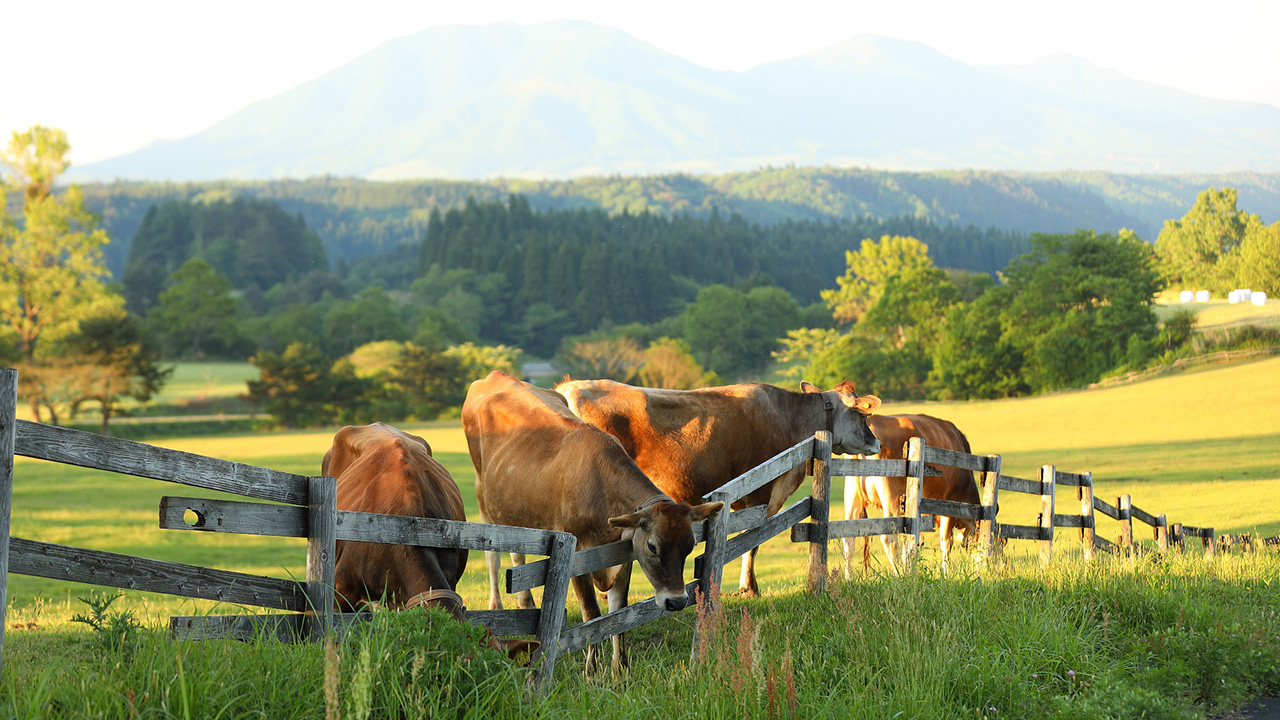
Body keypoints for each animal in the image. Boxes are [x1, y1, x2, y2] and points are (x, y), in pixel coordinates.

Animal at [460, 368, 727, 671]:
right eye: (653, 546)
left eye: (690, 546)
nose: (677, 601)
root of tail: (496, 375)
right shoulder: (577, 555)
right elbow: (592, 613)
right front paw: (592, 670)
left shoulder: (623, 556)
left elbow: (618, 613)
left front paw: (620, 670)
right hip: (483, 497)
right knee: (494, 555)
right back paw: (497, 605)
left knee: (518, 553)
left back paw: (526, 604)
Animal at [550, 376, 880, 594]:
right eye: (862, 415)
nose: (876, 443)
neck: (791, 420)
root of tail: (568, 387)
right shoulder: (761, 493)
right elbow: (752, 541)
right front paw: (749, 587)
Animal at [844, 412, 983, 573]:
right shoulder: (949, 505)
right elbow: (946, 542)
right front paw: (945, 573)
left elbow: (914, 543)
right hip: (891, 498)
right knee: (889, 539)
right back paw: (899, 574)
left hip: (852, 495)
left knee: (848, 539)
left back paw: (848, 577)